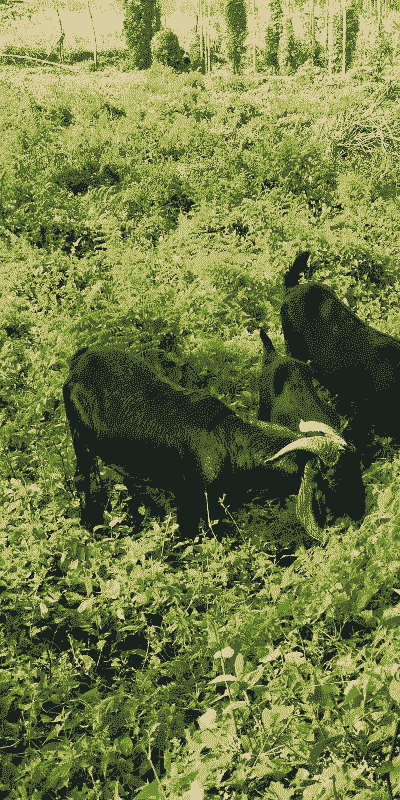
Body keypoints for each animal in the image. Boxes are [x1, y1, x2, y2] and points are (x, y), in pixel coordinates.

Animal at [63, 346, 354, 540]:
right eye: (326, 477)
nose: (346, 515)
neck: (227, 441)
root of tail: (78, 360)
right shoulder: (192, 497)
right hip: (80, 438)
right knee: (83, 480)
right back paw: (90, 527)